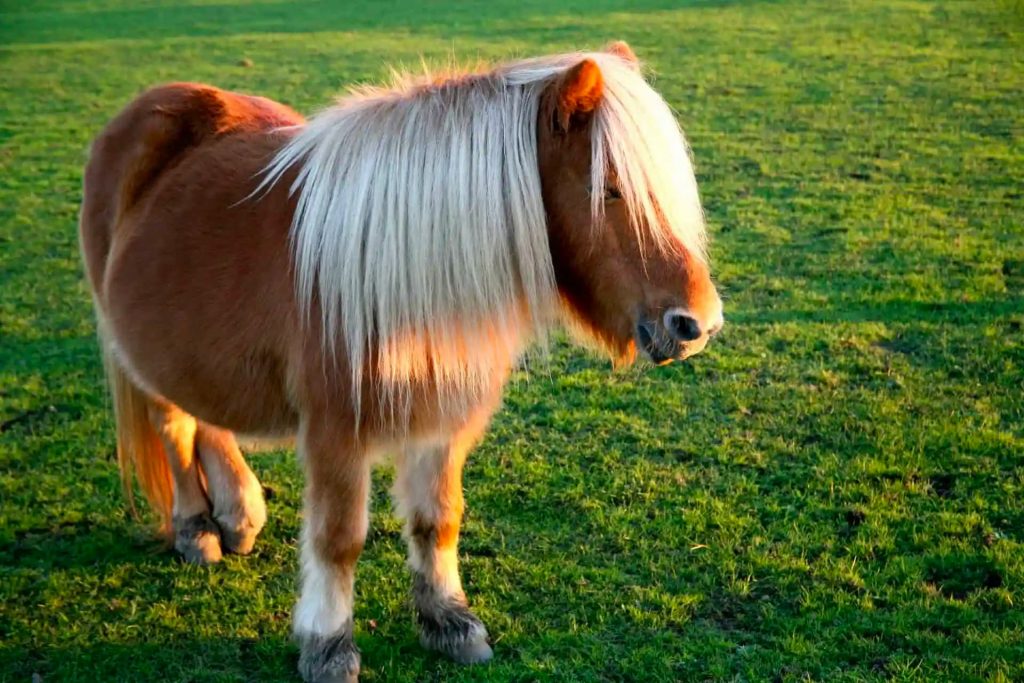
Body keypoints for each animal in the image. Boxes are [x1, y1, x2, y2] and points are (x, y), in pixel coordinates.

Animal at [77, 42, 720, 683]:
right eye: (610, 189)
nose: (699, 324)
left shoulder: (445, 421)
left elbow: (438, 519)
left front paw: (449, 621)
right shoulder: (335, 432)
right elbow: (338, 540)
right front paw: (328, 647)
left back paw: (238, 513)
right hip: (141, 353)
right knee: (174, 427)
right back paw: (196, 529)